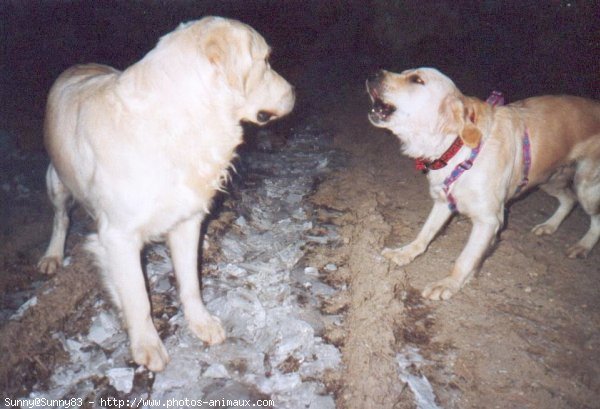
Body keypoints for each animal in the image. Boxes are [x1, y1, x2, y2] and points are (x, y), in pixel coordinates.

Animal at [37, 16, 296, 370]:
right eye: (266, 60)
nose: (294, 93)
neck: (180, 121)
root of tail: (78, 65)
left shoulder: (186, 222)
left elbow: (190, 284)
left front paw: (201, 323)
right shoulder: (119, 236)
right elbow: (138, 298)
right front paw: (146, 345)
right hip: (57, 182)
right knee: (61, 218)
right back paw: (52, 256)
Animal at [366, 67, 600, 300]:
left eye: (416, 80)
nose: (374, 73)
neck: (457, 146)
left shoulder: (489, 220)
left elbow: (465, 259)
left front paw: (448, 283)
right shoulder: (444, 202)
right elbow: (424, 233)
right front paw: (404, 253)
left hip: (585, 185)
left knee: (594, 218)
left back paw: (582, 246)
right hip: (548, 178)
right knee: (569, 200)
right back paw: (549, 226)